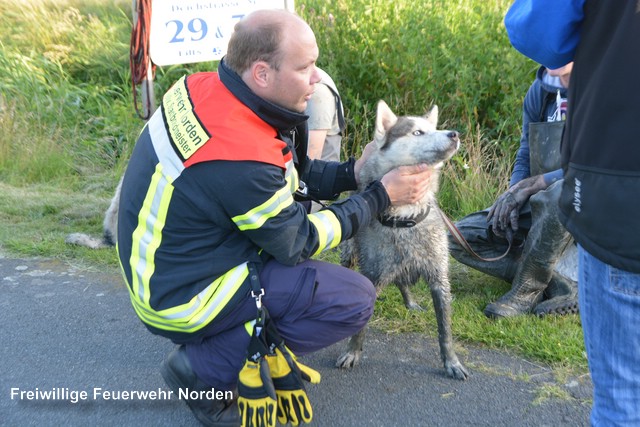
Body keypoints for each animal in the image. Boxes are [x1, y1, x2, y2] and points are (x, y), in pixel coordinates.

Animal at [338, 100, 468, 382]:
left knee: (401, 281)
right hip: (351, 256)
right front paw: (353, 351)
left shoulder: (440, 281)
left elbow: (445, 332)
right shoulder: (372, 275)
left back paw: (410, 302)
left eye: (435, 128)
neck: (406, 219)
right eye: (417, 132)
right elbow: (361, 328)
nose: (454, 134)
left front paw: (451, 362)